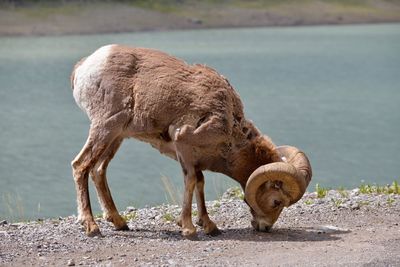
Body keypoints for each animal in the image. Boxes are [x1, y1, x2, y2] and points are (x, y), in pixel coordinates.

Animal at [70, 44, 310, 239]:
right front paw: (188, 229)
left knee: (98, 170)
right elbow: (191, 181)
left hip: (117, 136)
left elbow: (200, 183)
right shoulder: (183, 143)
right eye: (276, 201)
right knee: (81, 166)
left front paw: (209, 226)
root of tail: (84, 67)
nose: (265, 227)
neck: (229, 122)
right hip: (105, 128)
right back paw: (91, 227)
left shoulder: (194, 156)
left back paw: (120, 223)